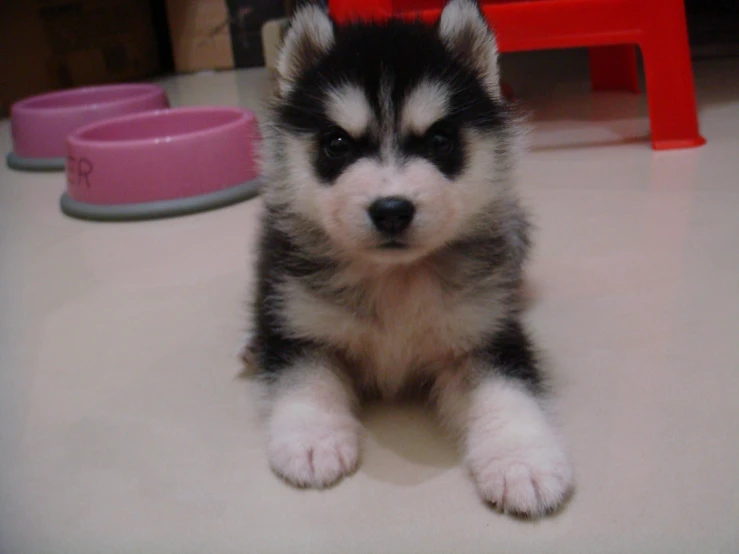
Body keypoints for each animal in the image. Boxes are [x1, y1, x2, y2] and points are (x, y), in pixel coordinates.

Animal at [247, 1, 572, 516]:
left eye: (439, 140)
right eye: (337, 144)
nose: (392, 210)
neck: (394, 278)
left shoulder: (484, 330)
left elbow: (507, 390)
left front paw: (522, 460)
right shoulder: (298, 319)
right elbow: (305, 377)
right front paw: (313, 436)